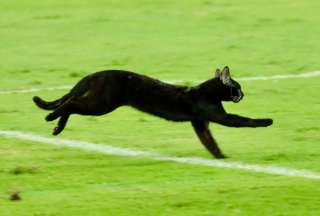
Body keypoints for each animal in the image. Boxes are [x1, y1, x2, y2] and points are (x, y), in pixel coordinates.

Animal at [32, 66, 272, 159]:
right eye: (237, 87)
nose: (243, 94)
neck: (207, 92)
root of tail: (95, 74)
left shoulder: (199, 123)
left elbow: (209, 142)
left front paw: (221, 158)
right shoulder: (221, 117)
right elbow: (244, 120)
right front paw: (268, 121)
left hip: (96, 101)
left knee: (69, 100)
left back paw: (57, 127)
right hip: (101, 104)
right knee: (70, 103)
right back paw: (51, 119)